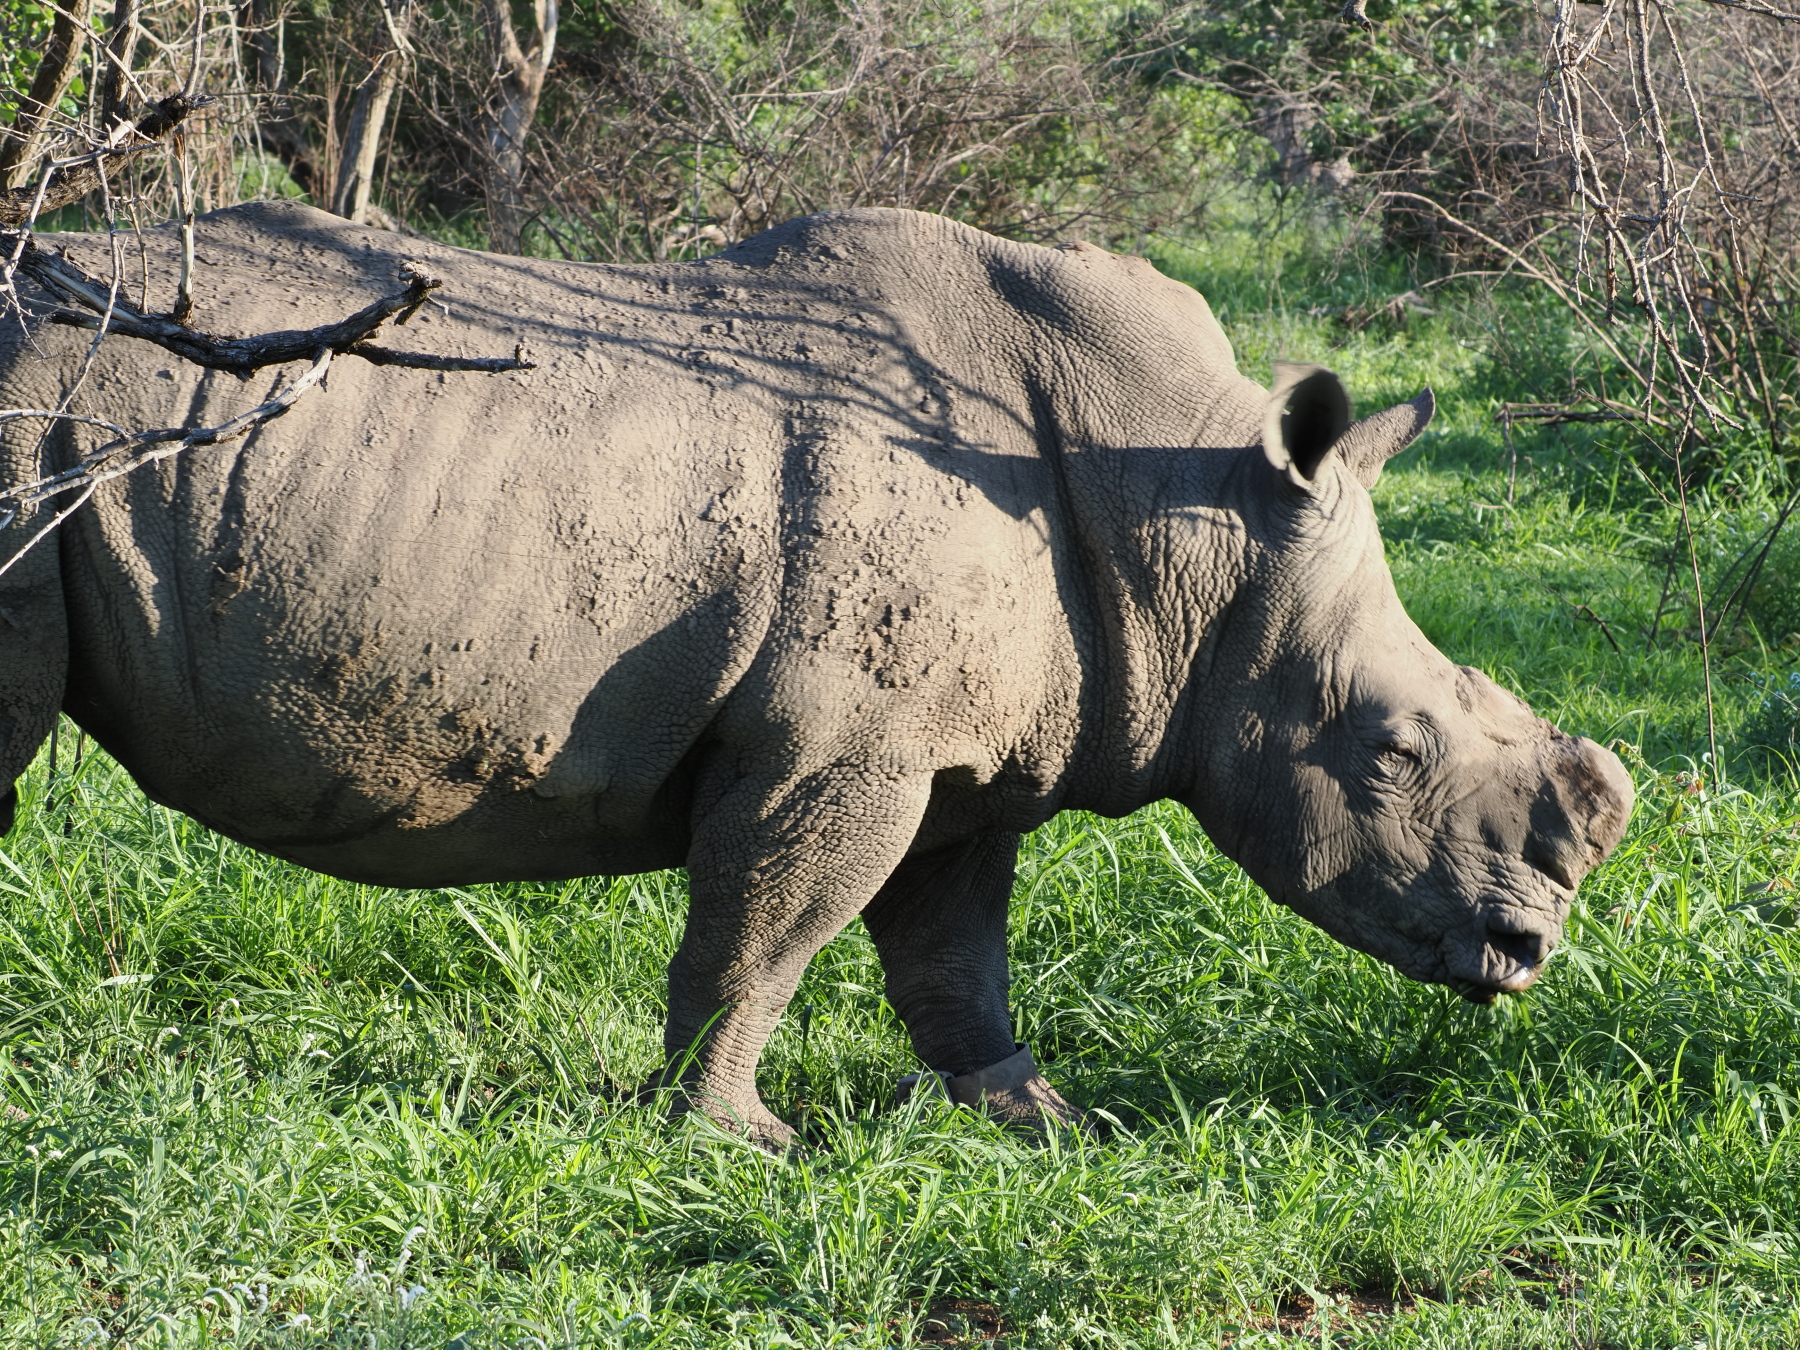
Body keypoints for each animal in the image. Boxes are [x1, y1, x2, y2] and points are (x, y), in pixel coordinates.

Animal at [0, 202, 1633, 1144]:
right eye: (1390, 753)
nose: (1528, 950)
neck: (1190, 521)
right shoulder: (840, 749)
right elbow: (763, 937)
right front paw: (733, 1148)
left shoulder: (974, 755)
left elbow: (952, 953)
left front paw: (1042, 1120)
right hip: (40, 403)